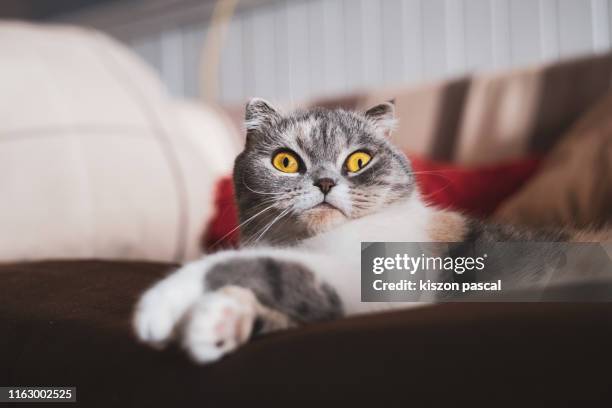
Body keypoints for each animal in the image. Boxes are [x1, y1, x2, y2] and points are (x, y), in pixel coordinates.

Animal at [133, 98, 608, 364]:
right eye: (286, 161)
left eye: (358, 160)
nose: (325, 182)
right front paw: (218, 322)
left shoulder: (378, 279)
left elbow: (257, 264)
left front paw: (163, 305)